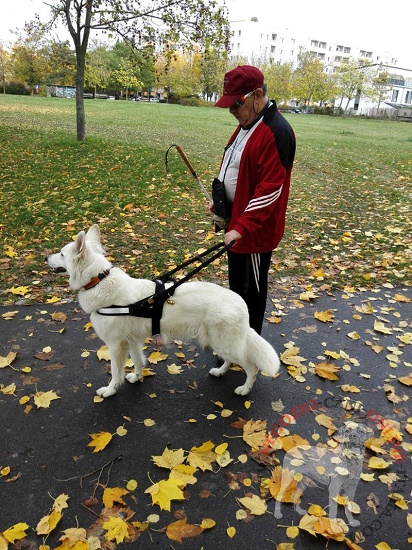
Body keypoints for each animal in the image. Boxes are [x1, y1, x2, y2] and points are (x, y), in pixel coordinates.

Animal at [47, 226, 280, 398]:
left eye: (61, 253)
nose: (46, 259)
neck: (98, 280)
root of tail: (241, 302)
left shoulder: (115, 345)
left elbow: (115, 372)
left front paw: (110, 390)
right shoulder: (132, 341)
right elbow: (138, 361)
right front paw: (136, 377)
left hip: (224, 343)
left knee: (251, 368)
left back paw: (244, 389)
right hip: (219, 343)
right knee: (231, 361)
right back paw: (220, 371)